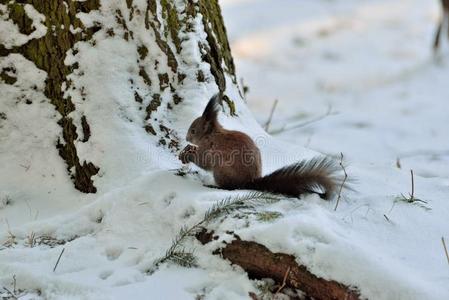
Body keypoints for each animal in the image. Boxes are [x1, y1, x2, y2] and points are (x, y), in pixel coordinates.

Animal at [178, 94, 340, 199]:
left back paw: (215, 186)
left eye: (193, 130)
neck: (211, 135)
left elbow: (204, 162)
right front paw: (188, 149)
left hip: (222, 170)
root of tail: (249, 182)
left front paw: (188, 154)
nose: (186, 138)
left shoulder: (209, 149)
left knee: (229, 187)